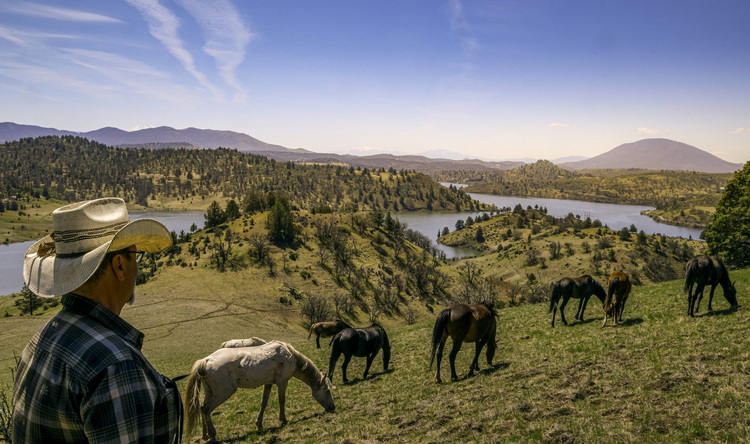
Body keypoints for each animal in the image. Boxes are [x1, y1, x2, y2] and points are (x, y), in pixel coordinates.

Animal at [184, 341, 334, 443]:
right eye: (327, 390)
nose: (332, 407)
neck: (289, 355)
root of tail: (205, 361)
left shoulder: (268, 384)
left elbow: (264, 402)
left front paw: (259, 423)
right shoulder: (282, 382)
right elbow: (282, 400)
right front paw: (283, 419)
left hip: (210, 392)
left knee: (203, 409)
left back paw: (205, 435)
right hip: (223, 392)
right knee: (206, 409)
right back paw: (213, 435)